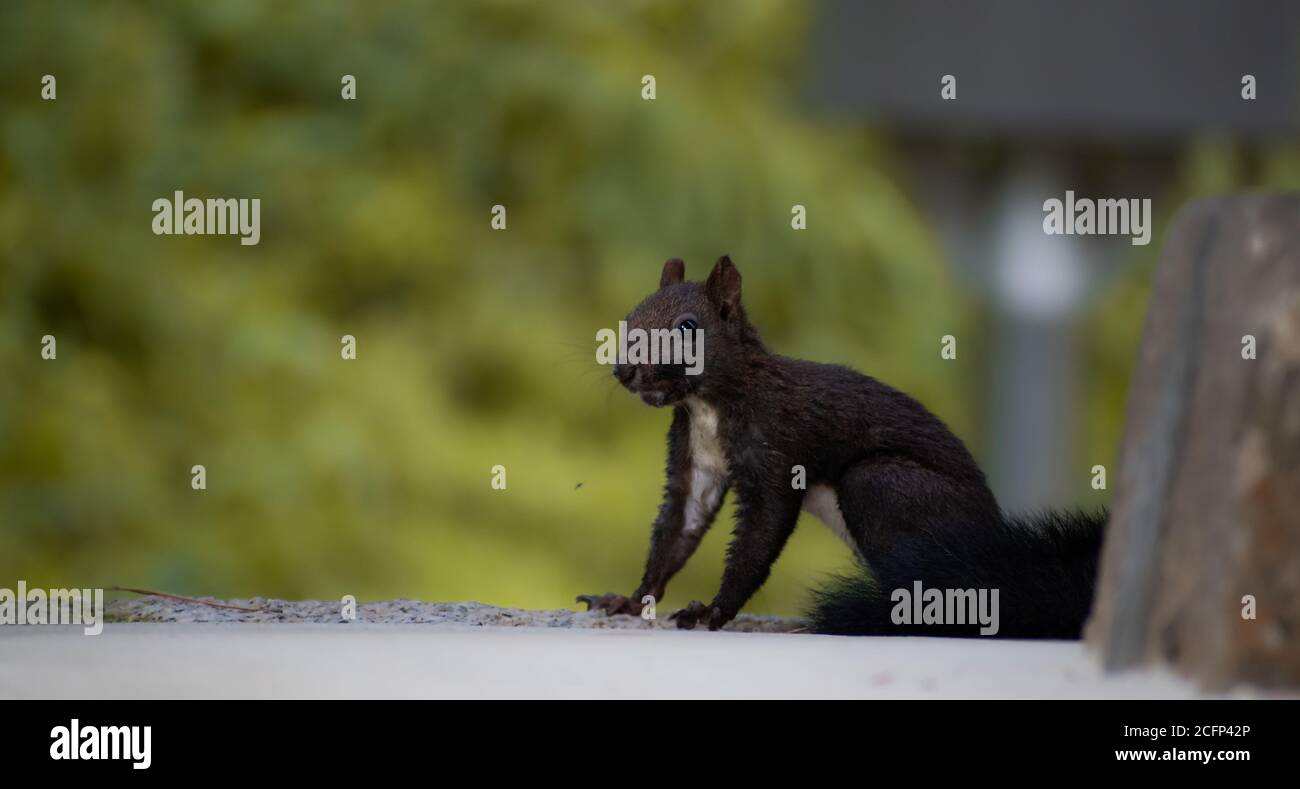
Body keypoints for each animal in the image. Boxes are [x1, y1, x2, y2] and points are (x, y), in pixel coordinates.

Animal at [578, 255, 1105, 637]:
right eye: (629, 317)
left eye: (687, 327)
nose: (624, 370)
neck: (708, 405)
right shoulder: (695, 460)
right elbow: (678, 528)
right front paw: (630, 599)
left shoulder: (778, 450)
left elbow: (759, 535)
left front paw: (713, 610)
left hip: (886, 485)